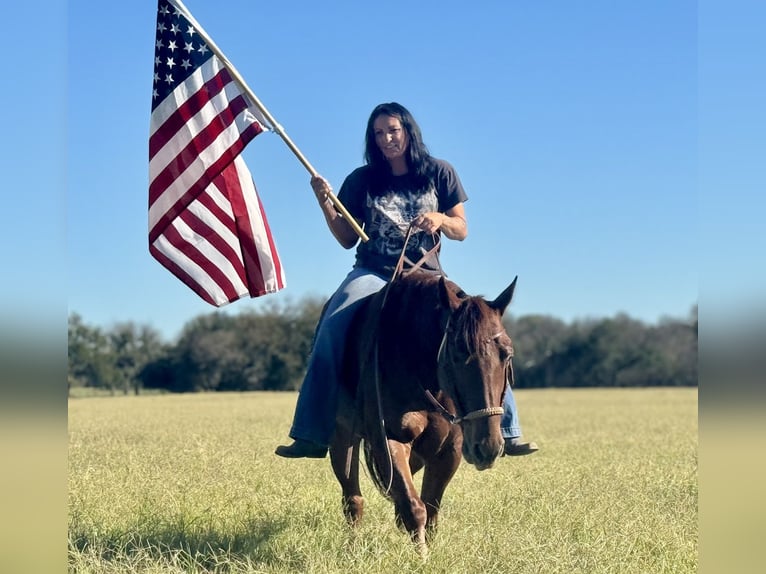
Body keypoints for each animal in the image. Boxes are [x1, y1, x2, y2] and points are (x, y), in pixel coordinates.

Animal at [328, 272, 520, 560]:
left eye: (506, 354)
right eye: (457, 353)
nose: (487, 447)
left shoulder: (449, 450)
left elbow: (431, 508)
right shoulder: (388, 441)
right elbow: (414, 507)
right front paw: (422, 558)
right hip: (342, 439)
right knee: (353, 500)